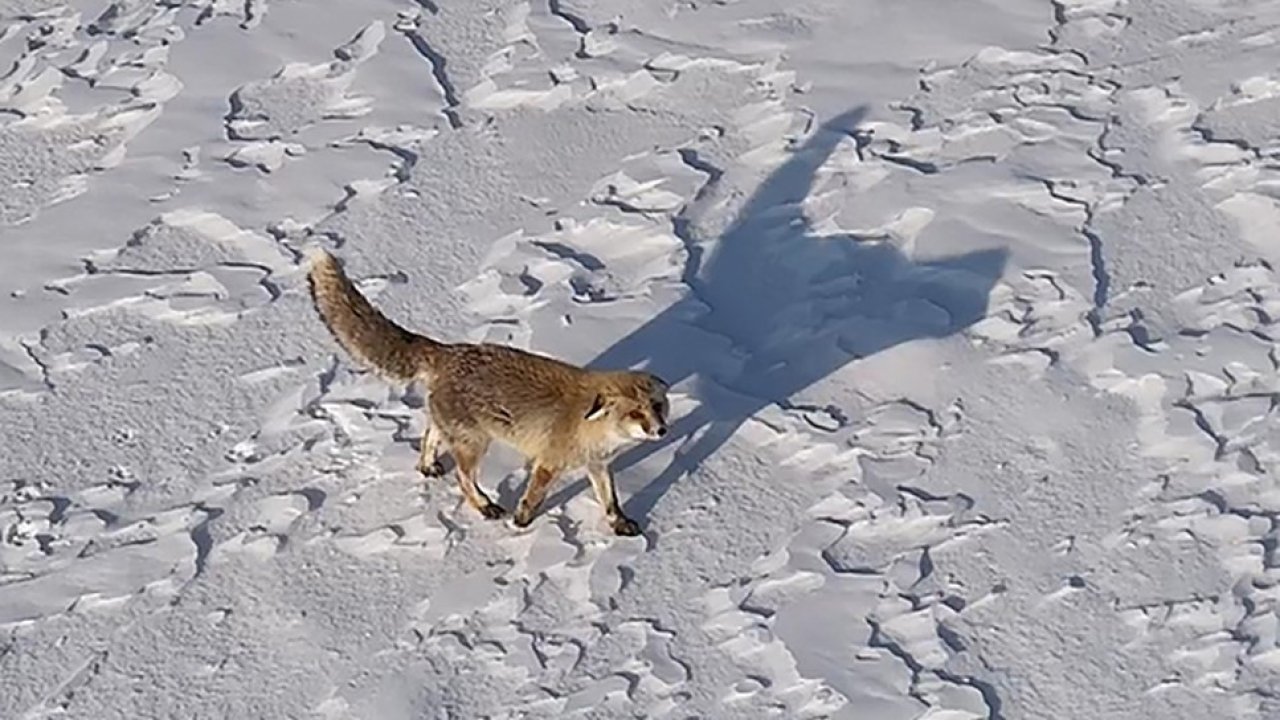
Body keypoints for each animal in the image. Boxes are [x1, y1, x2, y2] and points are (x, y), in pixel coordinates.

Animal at [302, 245, 670, 532]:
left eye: (657, 407)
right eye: (635, 413)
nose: (662, 431)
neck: (592, 429)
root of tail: (448, 350)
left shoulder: (598, 465)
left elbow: (611, 502)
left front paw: (620, 525)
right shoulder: (549, 462)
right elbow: (533, 496)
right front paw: (521, 522)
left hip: (457, 433)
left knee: (429, 436)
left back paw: (428, 466)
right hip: (475, 444)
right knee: (464, 479)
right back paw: (484, 505)